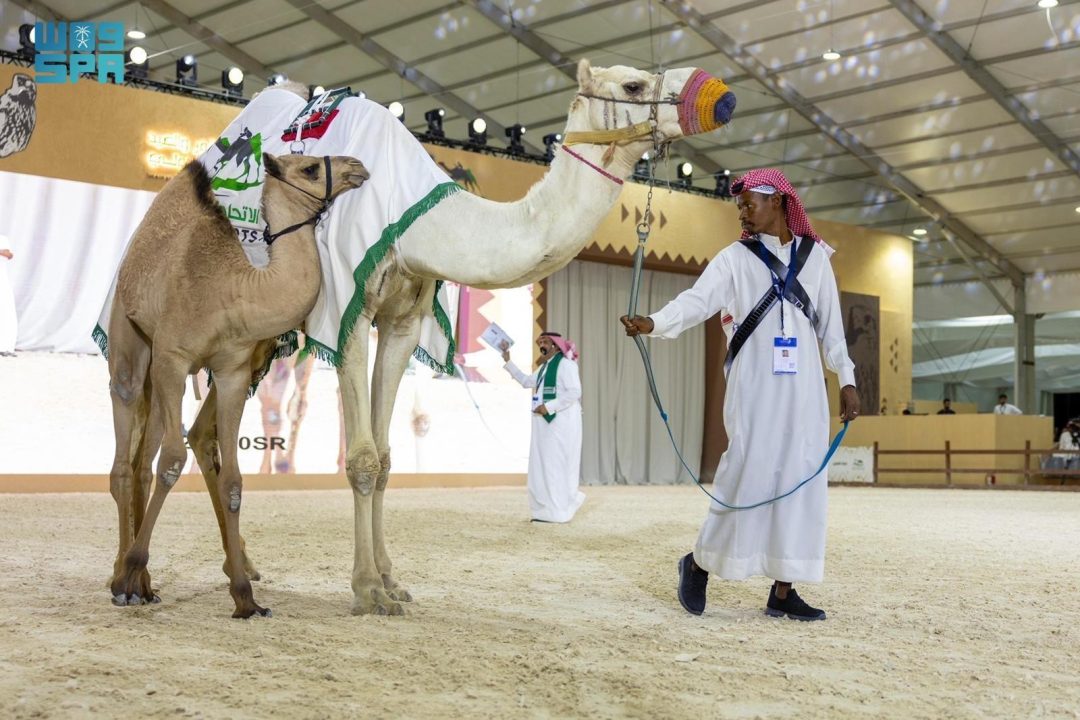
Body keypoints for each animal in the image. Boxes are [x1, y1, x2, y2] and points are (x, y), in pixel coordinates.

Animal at [106, 152, 369, 618]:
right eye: (308, 168)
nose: (356, 165)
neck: (231, 291)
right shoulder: (175, 358)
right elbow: (173, 461)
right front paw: (130, 571)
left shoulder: (232, 373)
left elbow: (231, 479)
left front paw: (246, 597)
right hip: (131, 333)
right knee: (125, 435)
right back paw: (125, 578)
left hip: (159, 369)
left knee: (141, 464)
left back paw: (146, 586)